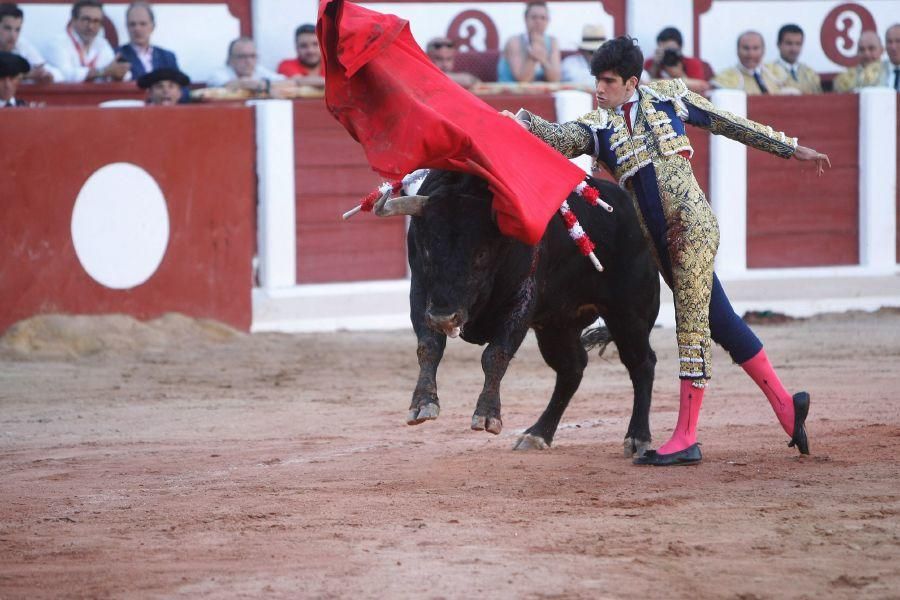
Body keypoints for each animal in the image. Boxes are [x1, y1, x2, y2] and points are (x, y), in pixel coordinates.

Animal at [390, 169, 656, 454]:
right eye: (428, 250)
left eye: (481, 254)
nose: (444, 317)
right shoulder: (421, 292)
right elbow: (429, 346)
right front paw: (422, 405)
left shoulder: (522, 299)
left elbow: (495, 354)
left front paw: (487, 416)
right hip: (556, 326)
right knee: (572, 368)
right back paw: (537, 434)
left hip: (629, 313)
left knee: (642, 363)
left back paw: (638, 438)